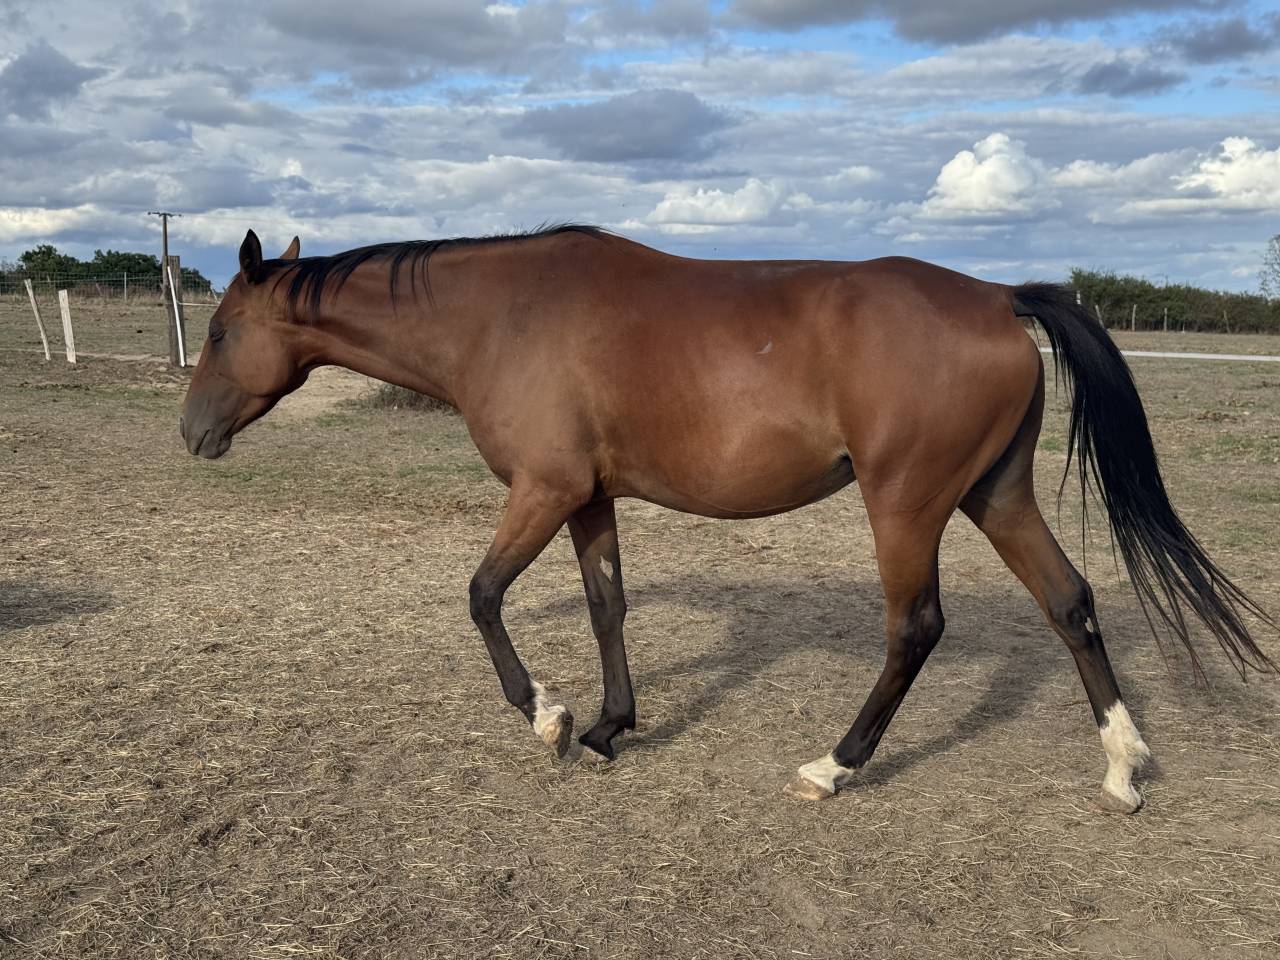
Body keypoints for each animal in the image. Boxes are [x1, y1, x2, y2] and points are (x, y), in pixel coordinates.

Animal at [180, 225, 1274, 813]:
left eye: (224, 329)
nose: (192, 432)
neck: (502, 315)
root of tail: (998, 298)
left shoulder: (541, 490)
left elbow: (483, 596)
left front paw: (549, 717)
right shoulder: (588, 498)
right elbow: (607, 608)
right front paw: (611, 726)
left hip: (906, 503)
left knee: (914, 629)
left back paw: (832, 768)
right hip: (992, 496)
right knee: (1070, 601)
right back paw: (1123, 769)